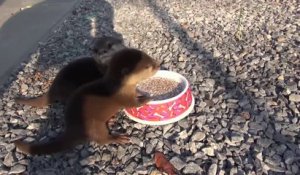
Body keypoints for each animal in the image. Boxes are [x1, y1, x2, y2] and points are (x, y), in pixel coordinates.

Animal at [14, 47, 159, 154]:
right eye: (147, 67)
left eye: (149, 57)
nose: (158, 65)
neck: (119, 86)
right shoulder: (123, 97)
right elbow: (133, 103)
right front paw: (147, 98)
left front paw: (141, 93)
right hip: (94, 125)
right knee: (101, 139)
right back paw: (117, 138)